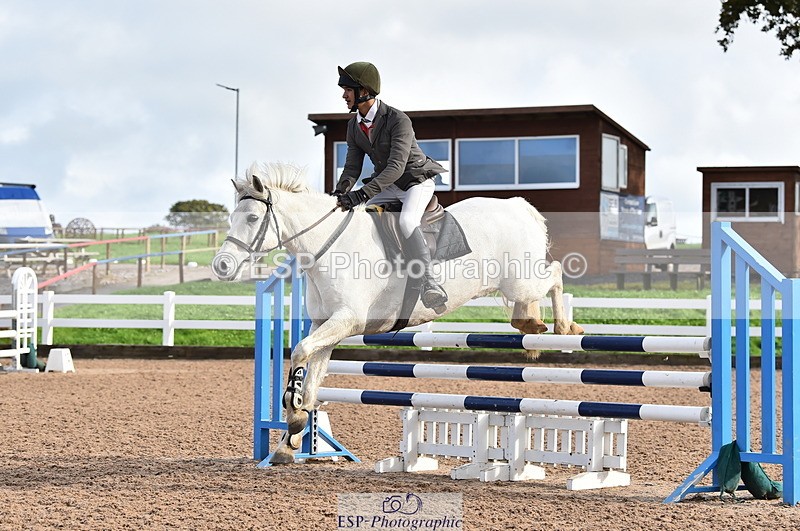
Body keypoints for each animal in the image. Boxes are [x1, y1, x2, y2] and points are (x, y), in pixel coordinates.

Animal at [211, 161, 584, 464]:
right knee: (529, 303)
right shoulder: (324, 325)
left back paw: (566, 328)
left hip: (522, 280)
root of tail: (517, 206)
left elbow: (301, 353)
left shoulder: (346, 320)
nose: (222, 266)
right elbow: (312, 375)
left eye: (253, 218)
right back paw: (530, 326)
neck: (328, 247)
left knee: (554, 274)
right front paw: (292, 438)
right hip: (515, 285)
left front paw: (294, 411)